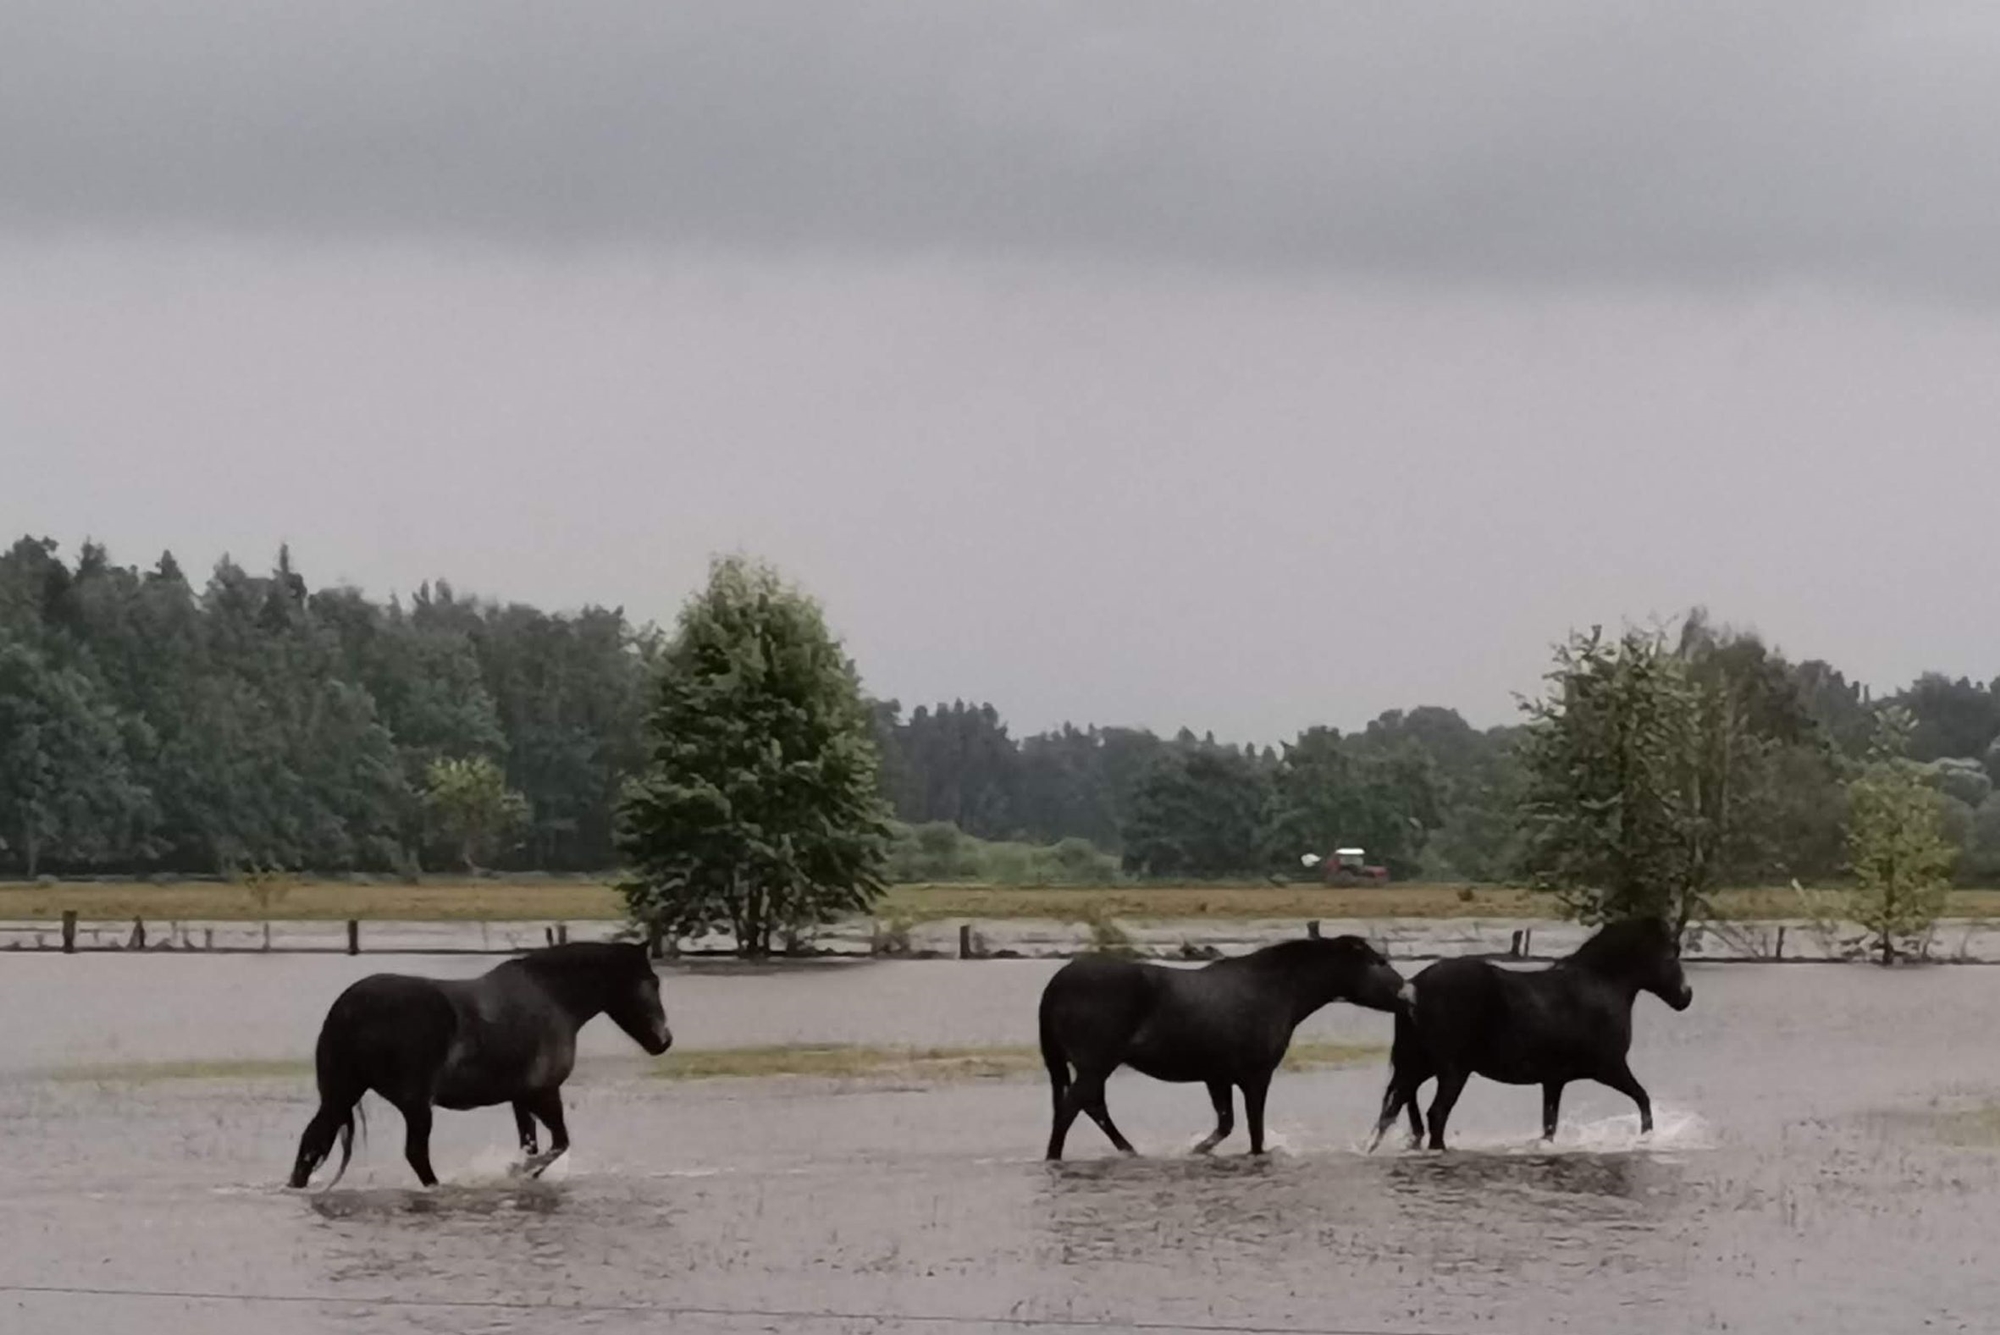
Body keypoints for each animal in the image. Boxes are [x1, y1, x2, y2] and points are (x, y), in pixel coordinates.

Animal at [286, 939, 672, 1191]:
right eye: (652, 982)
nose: (664, 1041)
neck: (553, 998)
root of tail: (348, 1008)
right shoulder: (544, 1093)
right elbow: (557, 1144)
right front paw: (516, 1171)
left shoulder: (521, 1098)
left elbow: (532, 1143)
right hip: (414, 1104)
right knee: (416, 1154)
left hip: (342, 1093)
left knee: (312, 1142)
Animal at [1040, 935, 1416, 1159]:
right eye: (1379, 962)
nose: (1409, 992)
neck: (1277, 988)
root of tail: (1056, 983)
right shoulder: (1256, 1076)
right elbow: (1254, 1130)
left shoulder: (1217, 1076)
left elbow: (1225, 1124)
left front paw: (1197, 1152)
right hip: (1096, 1063)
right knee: (1073, 1108)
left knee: (1091, 1106)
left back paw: (1129, 1150)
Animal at [1360, 911, 1688, 1151]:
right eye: (1671, 954)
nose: (1686, 996)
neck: (1599, 986)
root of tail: (1412, 988)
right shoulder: (1610, 1067)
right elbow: (1643, 1099)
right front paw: (1646, 1138)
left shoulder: (1554, 1080)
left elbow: (1549, 1125)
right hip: (1452, 1071)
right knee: (1435, 1114)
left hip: (1419, 1066)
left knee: (1397, 1109)